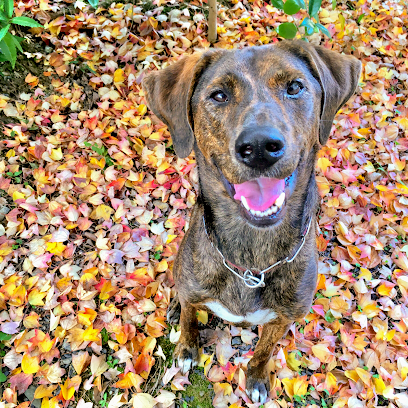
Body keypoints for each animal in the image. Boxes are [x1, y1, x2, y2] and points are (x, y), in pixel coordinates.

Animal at [141, 39, 360, 404]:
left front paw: (256, 378)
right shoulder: (193, 290)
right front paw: (187, 348)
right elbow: (188, 318)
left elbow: (264, 351)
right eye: (218, 95)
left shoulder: (283, 318)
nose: (259, 147)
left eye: (295, 87)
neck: (252, 258)